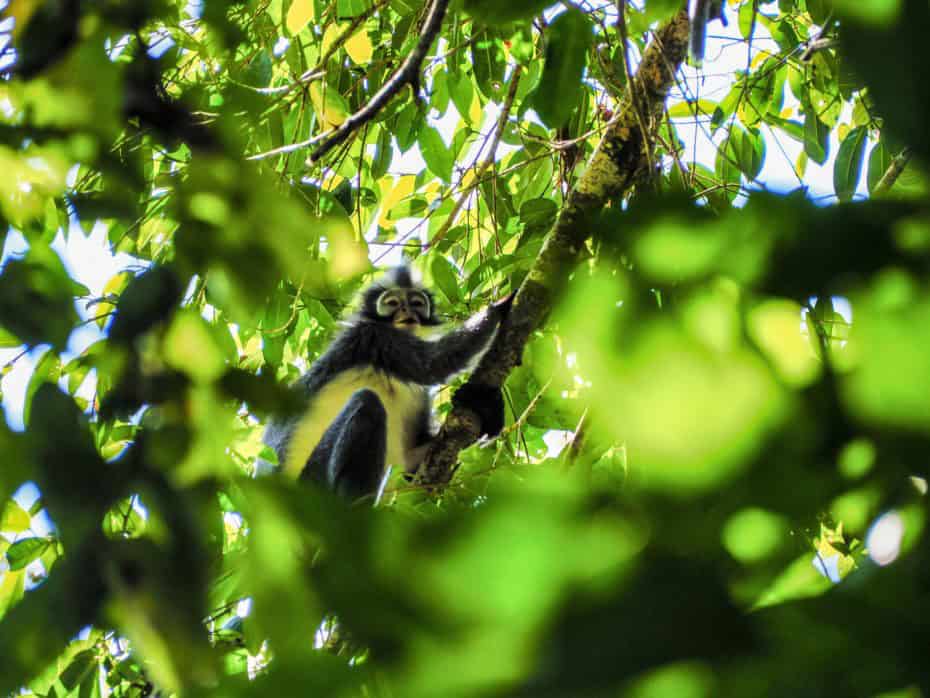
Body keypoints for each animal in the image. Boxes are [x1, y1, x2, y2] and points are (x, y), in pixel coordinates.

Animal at [259, 266, 511, 500]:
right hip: (311, 481)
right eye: (392, 303)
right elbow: (435, 363)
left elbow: (413, 461)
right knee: (366, 402)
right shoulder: (373, 335)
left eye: (416, 303)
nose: (406, 311)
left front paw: (484, 406)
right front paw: (500, 305)